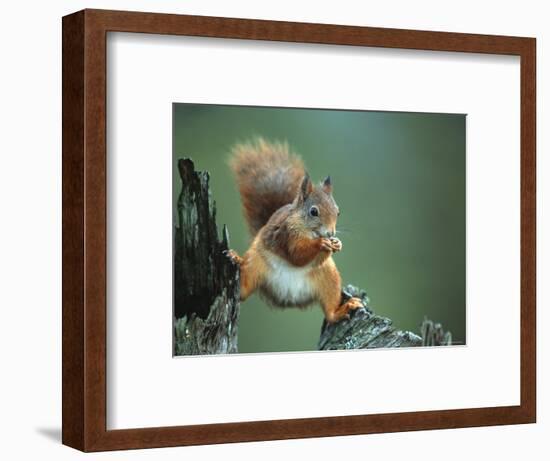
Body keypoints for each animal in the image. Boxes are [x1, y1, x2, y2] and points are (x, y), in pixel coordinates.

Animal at [226, 138, 364, 322]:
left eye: (338, 212)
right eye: (314, 212)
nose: (330, 233)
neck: (308, 230)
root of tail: (289, 298)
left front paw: (337, 243)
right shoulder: (286, 234)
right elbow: (296, 255)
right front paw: (322, 243)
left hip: (329, 277)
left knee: (330, 312)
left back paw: (343, 309)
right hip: (254, 264)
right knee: (242, 291)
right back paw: (235, 258)